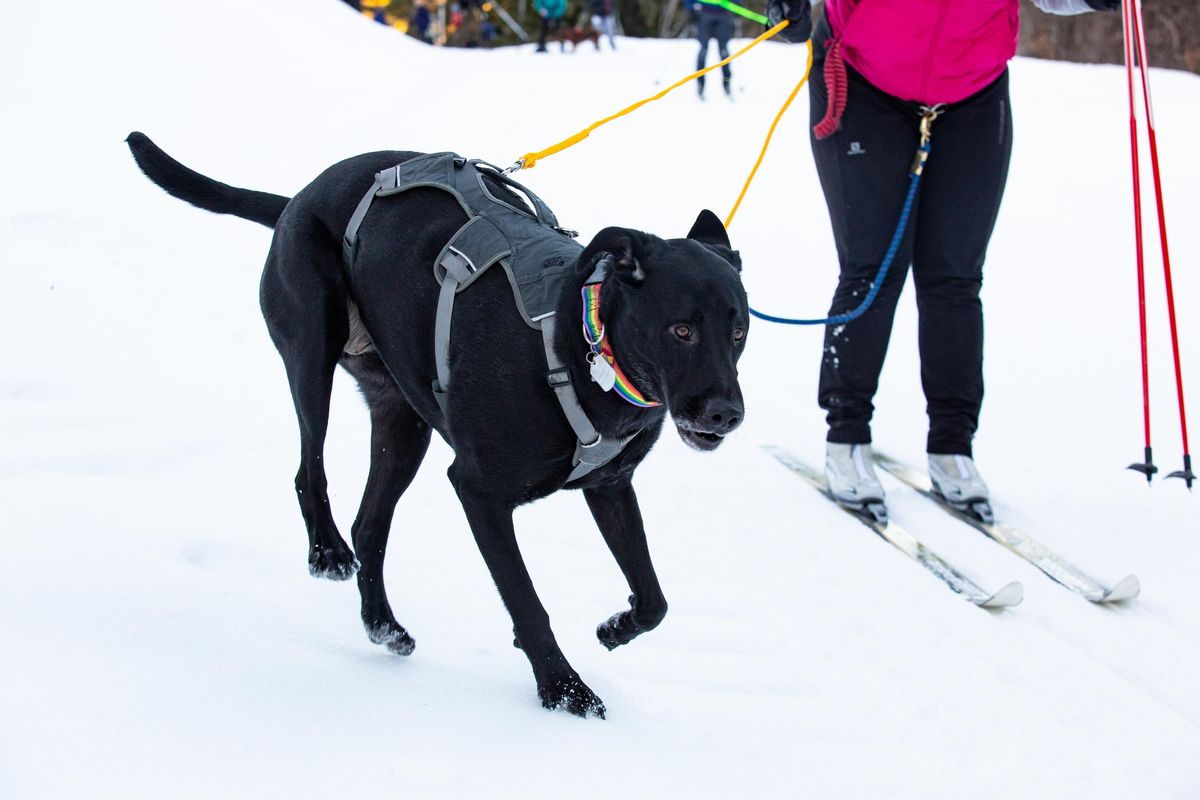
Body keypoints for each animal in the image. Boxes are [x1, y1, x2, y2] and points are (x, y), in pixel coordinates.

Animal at [131, 133, 748, 719]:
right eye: (682, 330)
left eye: (739, 330)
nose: (726, 413)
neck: (581, 344)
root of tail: (297, 199)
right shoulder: (479, 492)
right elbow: (527, 601)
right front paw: (564, 690)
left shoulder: (610, 487)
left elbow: (654, 599)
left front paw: (615, 628)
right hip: (311, 347)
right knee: (310, 468)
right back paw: (326, 550)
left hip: (403, 422)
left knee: (369, 526)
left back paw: (383, 624)